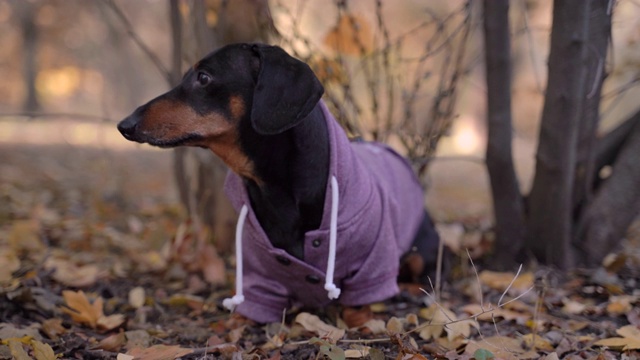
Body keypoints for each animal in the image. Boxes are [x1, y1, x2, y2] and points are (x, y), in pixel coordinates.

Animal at [117, 43, 442, 328]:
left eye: (204, 77)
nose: (124, 125)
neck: (275, 188)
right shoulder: (259, 275)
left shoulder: (373, 261)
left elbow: (359, 304)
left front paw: (362, 320)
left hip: (421, 249)